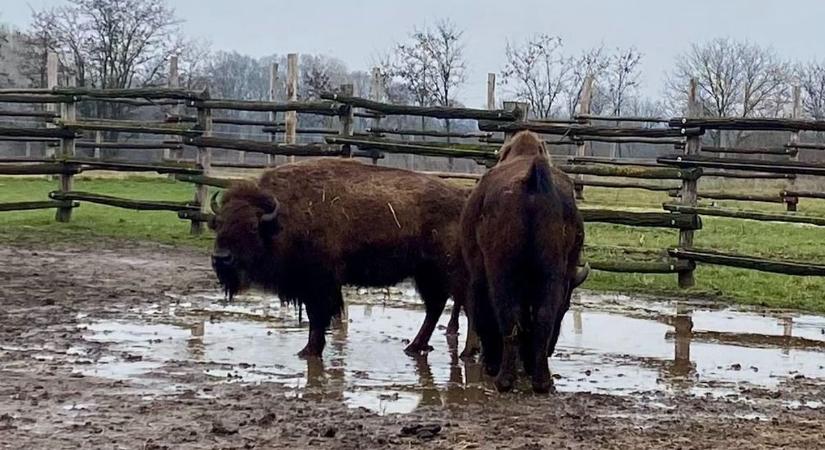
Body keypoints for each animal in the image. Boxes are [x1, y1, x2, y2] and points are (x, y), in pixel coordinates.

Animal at [208, 158, 476, 358]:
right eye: (219, 224)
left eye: (252, 228)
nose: (221, 258)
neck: (281, 219)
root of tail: (464, 198)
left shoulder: (319, 283)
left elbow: (318, 316)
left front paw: (309, 350)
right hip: (426, 274)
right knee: (436, 306)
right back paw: (415, 347)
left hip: (450, 272)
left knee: (464, 306)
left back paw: (466, 352)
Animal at [460, 131, 588, 394]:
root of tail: (533, 182)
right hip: (551, 274)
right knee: (543, 316)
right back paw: (541, 380)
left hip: (503, 272)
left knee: (509, 318)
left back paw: (504, 379)